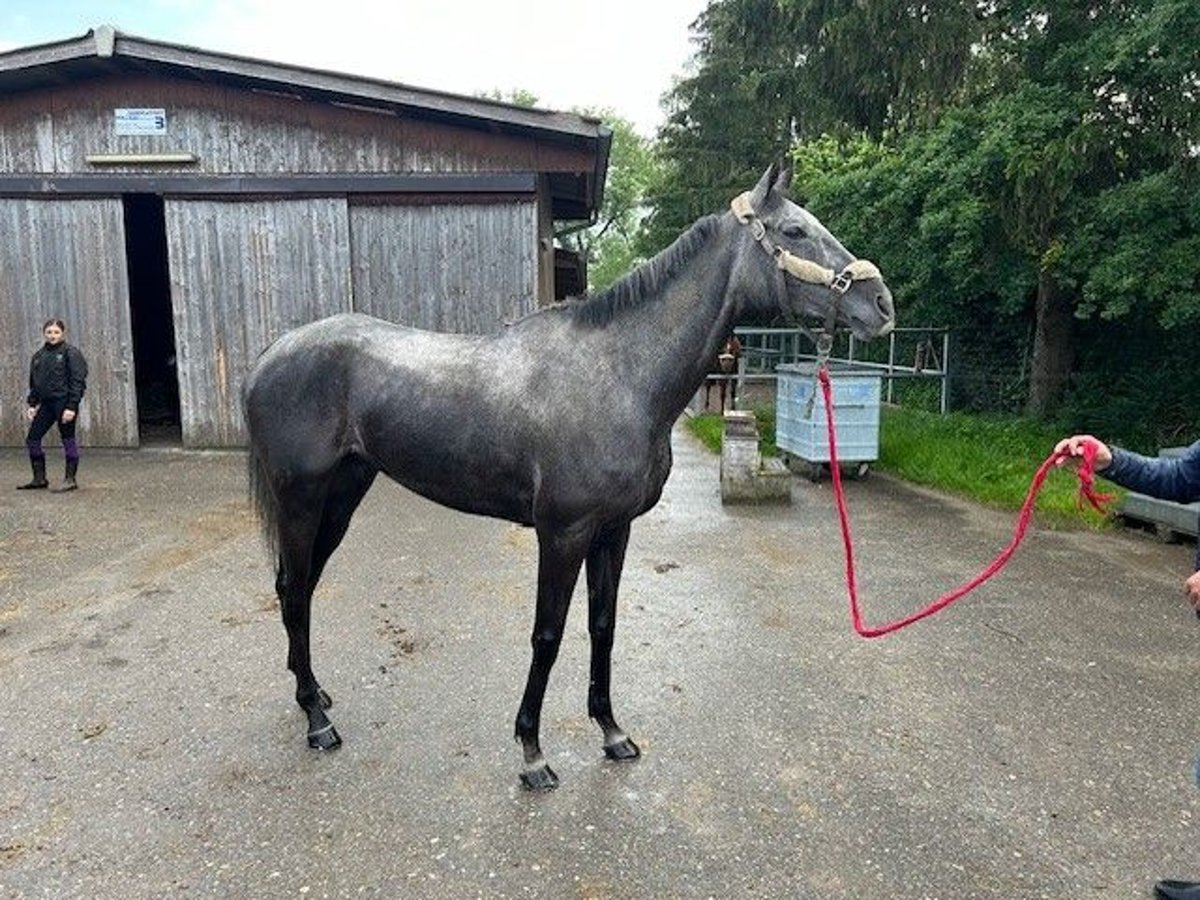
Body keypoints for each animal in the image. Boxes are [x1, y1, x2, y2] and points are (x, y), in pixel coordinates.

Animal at [243, 162, 897, 787]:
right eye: (794, 231)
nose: (881, 304)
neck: (618, 376)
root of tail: (270, 356)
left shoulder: (614, 530)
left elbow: (602, 626)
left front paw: (612, 731)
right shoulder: (563, 534)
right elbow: (548, 635)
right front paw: (532, 753)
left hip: (343, 496)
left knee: (296, 587)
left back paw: (313, 694)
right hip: (302, 501)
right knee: (295, 592)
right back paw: (318, 723)